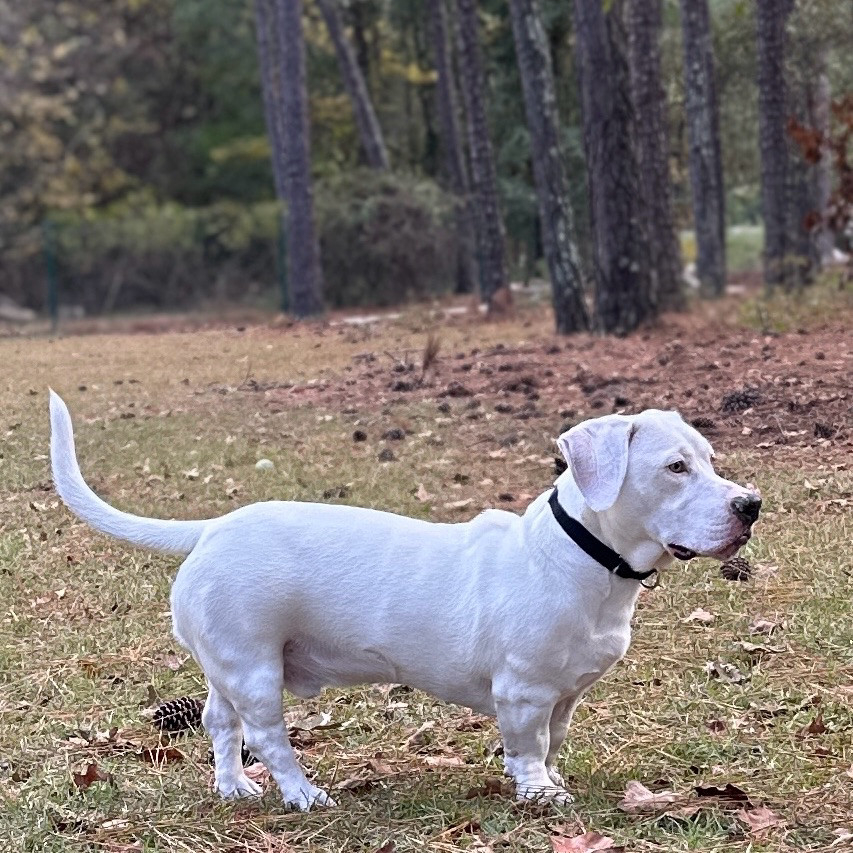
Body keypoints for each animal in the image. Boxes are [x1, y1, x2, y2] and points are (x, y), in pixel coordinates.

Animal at [48, 390, 760, 808]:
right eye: (675, 468)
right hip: (254, 670)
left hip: (230, 664)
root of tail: (212, 528)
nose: (751, 505)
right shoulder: (524, 692)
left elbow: (555, 742)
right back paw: (302, 793)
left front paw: (554, 780)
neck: (585, 559)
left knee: (221, 726)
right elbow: (528, 747)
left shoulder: (565, 695)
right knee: (268, 737)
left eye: (710, 458)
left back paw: (235, 788)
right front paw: (538, 793)